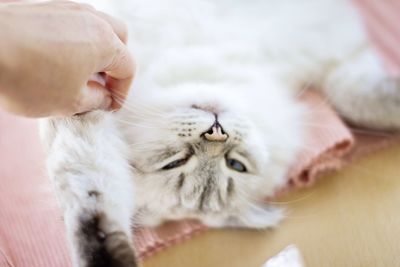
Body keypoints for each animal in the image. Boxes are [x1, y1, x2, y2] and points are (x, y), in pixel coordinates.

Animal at [39, 1, 400, 266]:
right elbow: (93, 204)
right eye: (175, 162)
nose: (216, 133)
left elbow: (358, 97)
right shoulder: (81, 103)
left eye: (236, 164)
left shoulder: (334, 49)